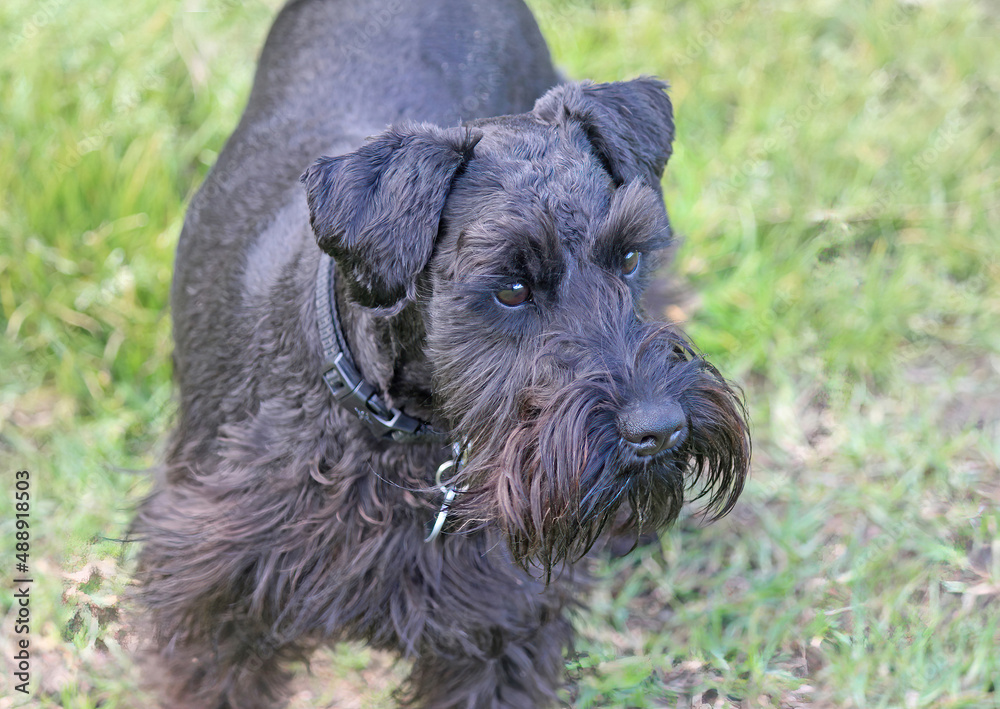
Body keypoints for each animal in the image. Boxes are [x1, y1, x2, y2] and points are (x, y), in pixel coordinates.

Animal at [129, 2, 748, 704]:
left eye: (630, 257)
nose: (660, 431)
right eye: (511, 288)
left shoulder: (497, 627)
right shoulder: (215, 601)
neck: (391, 430)